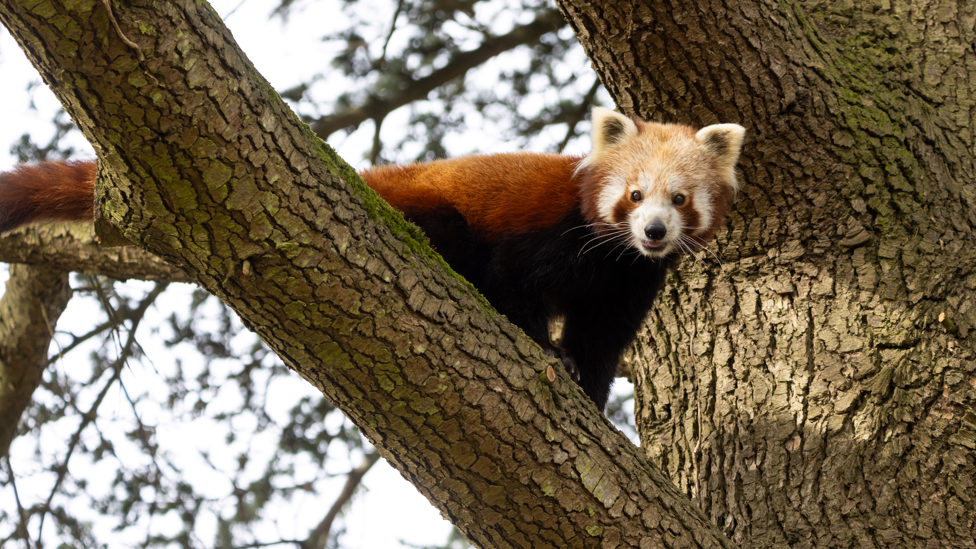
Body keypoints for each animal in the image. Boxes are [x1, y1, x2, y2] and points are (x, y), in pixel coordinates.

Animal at [0, 107, 744, 408]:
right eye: (635, 194)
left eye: (679, 199)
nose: (653, 231)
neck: (612, 256)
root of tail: (371, 180)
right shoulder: (549, 234)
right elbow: (513, 287)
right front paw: (549, 355)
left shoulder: (628, 284)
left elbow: (602, 339)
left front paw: (589, 388)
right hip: (430, 210)